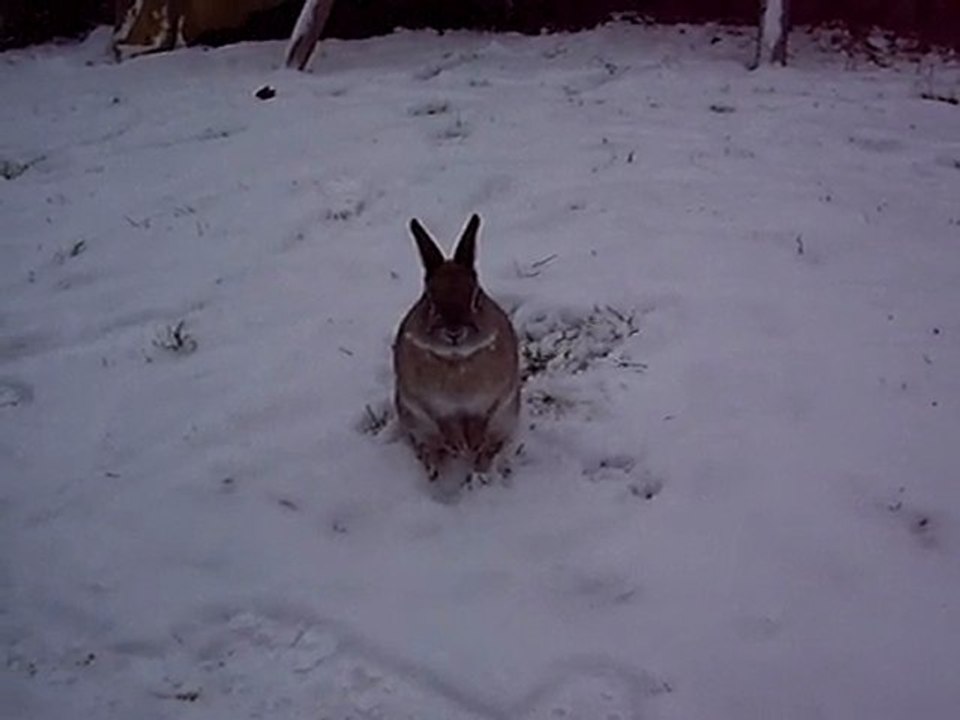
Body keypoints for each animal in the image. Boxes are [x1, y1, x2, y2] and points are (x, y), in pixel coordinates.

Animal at [393, 213, 520, 481]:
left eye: (476, 298)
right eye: (429, 301)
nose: (454, 332)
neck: (457, 360)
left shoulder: (495, 398)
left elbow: (482, 419)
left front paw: (473, 442)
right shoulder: (428, 403)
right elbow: (445, 423)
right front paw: (458, 444)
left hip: (507, 419)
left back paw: (480, 468)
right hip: (415, 424)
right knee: (431, 446)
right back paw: (436, 469)